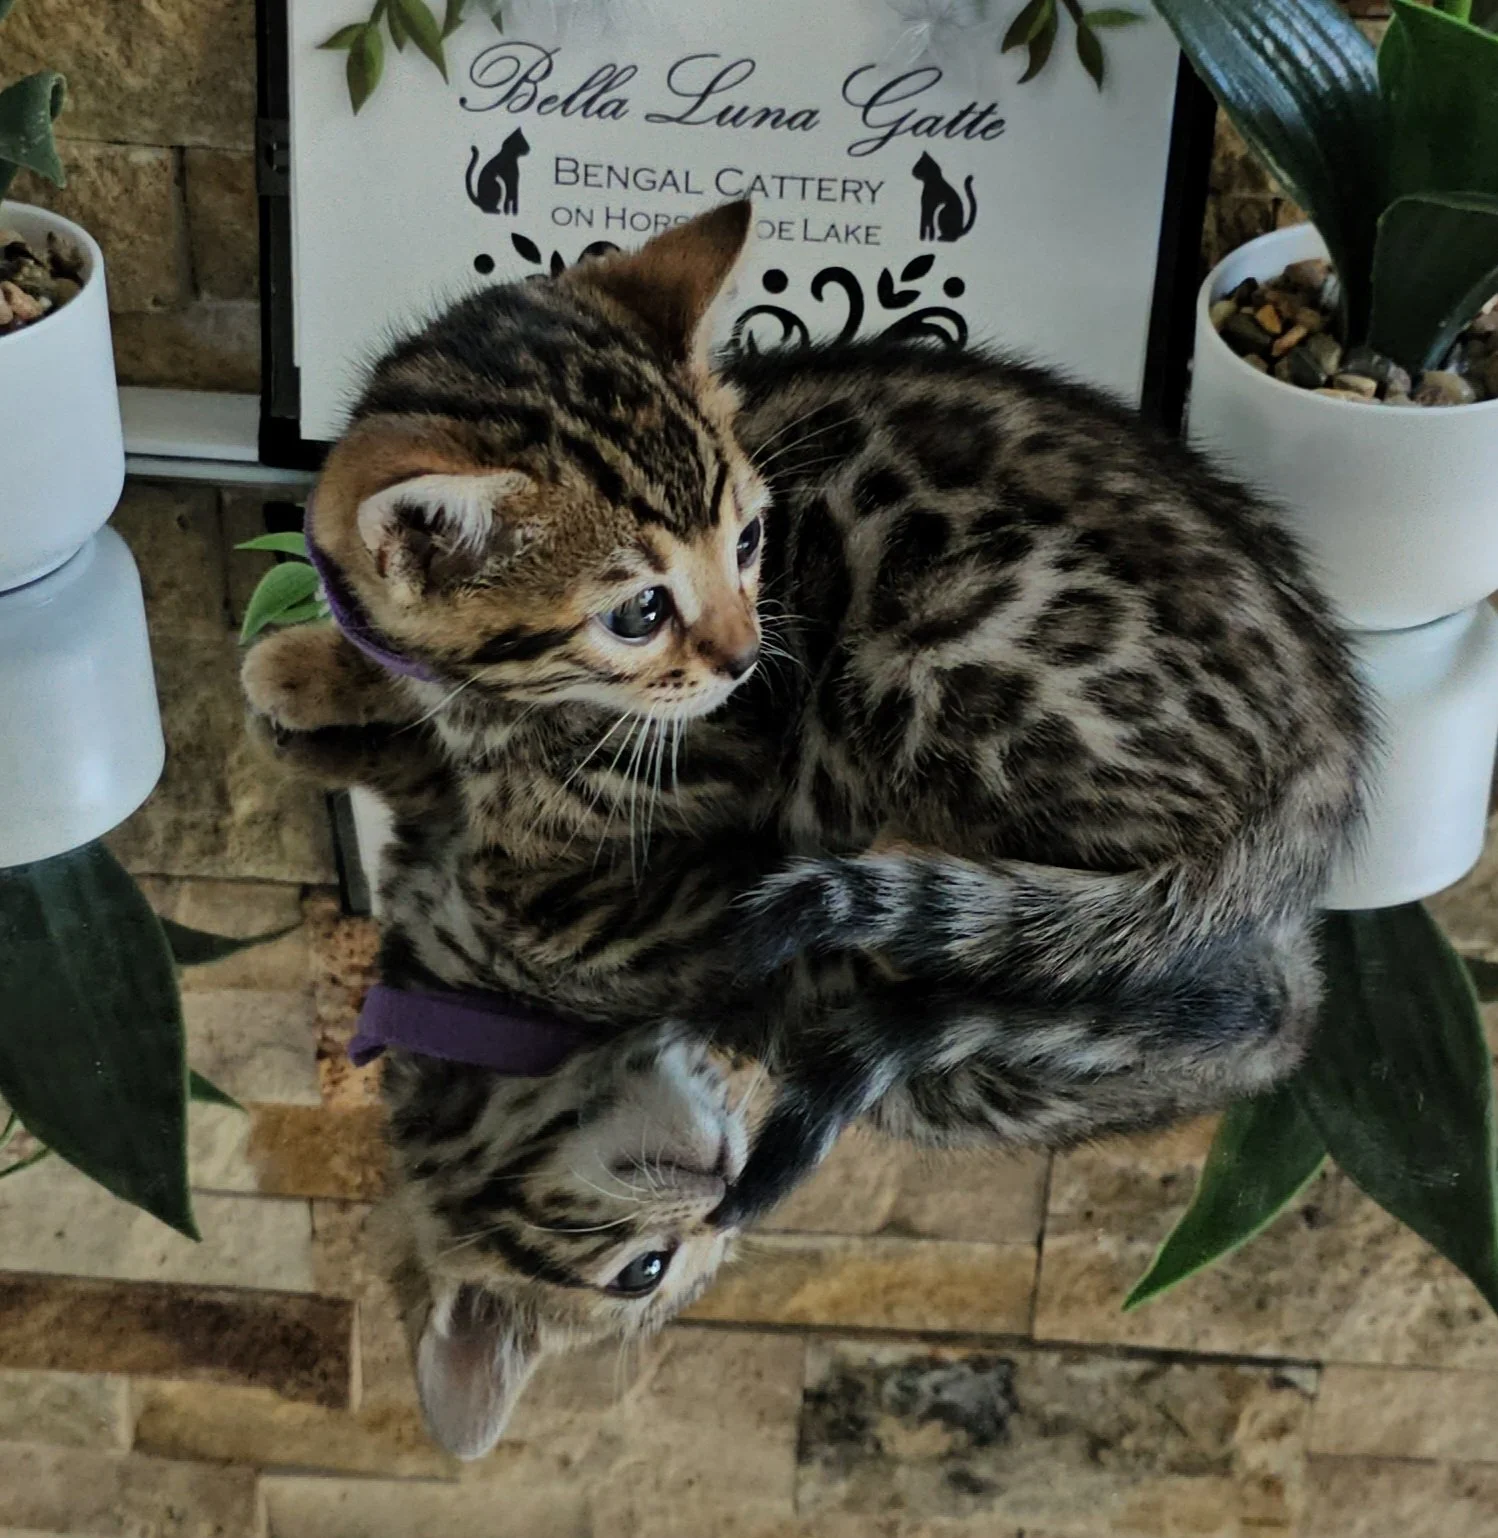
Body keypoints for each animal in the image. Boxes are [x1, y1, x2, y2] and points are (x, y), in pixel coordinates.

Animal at [242, 200, 1371, 1458]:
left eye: (751, 540)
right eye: (638, 608)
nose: (749, 656)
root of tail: (1321, 761)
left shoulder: (700, 781)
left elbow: (538, 878)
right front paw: (315, 661)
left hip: (933, 658)